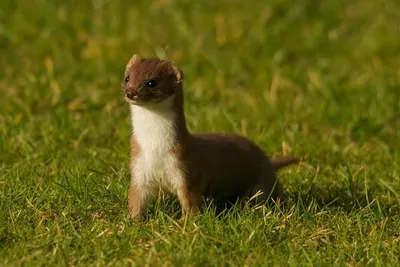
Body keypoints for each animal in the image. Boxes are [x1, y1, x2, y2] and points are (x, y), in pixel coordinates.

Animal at [122, 55, 300, 220]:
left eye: (152, 82)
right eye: (127, 77)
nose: (130, 92)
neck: (155, 147)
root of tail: (267, 161)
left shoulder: (187, 168)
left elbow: (191, 201)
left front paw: (186, 223)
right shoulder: (139, 167)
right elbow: (136, 198)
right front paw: (132, 221)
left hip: (262, 184)